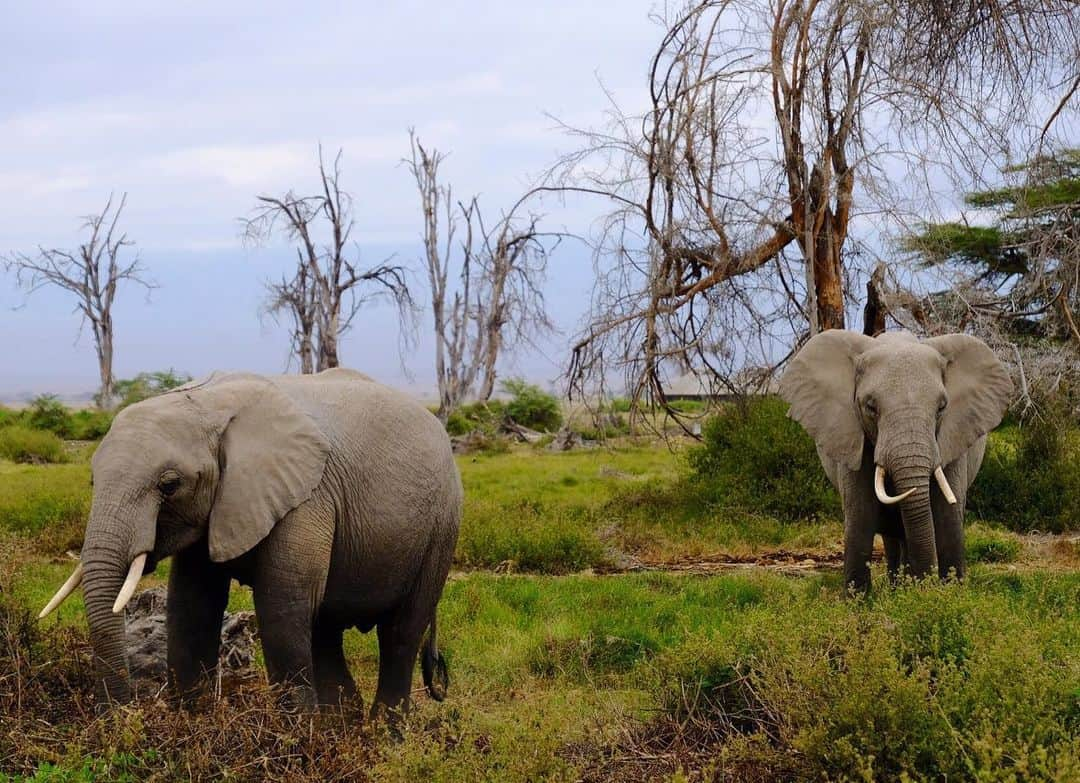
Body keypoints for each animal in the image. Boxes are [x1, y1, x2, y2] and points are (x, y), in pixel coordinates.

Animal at [36, 369, 460, 717]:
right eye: (93, 480)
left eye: (169, 485)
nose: (120, 717)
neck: (209, 403)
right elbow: (192, 607)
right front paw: (193, 723)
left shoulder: (307, 498)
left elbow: (280, 608)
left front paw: (297, 744)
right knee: (325, 628)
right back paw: (344, 730)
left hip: (441, 527)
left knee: (401, 634)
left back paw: (383, 737)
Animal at [777, 326, 1010, 587]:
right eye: (870, 407)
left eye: (942, 407)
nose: (925, 584)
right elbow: (860, 517)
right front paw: (858, 597)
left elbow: (948, 518)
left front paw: (949, 591)